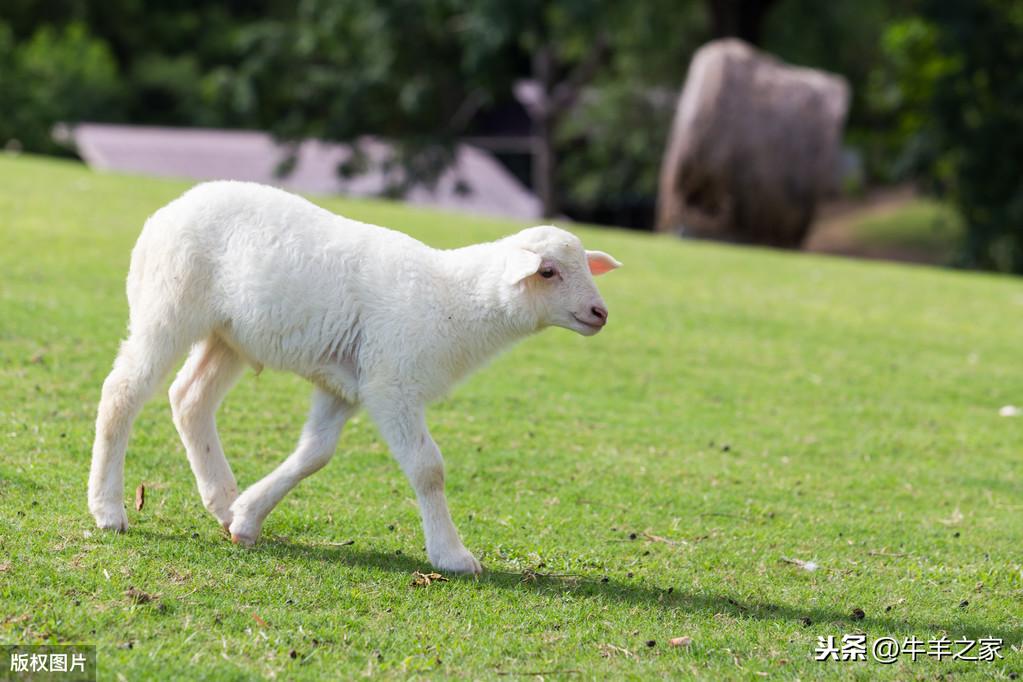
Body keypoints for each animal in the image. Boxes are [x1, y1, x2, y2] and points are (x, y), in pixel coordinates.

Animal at [87, 178, 617, 572]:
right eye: (547, 272)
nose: (600, 313)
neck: (455, 301)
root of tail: (167, 210)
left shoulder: (345, 383)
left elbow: (314, 454)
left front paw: (246, 519)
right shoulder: (391, 385)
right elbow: (428, 468)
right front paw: (452, 555)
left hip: (228, 335)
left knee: (189, 399)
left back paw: (222, 501)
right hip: (168, 305)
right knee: (122, 392)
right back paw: (108, 509)